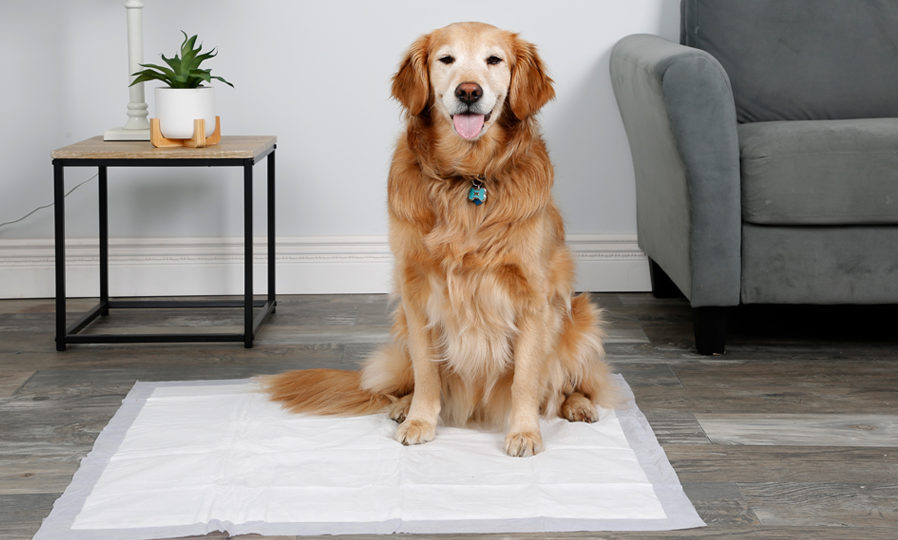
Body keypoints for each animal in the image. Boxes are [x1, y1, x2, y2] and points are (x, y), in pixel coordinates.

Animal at [262, 23, 620, 458]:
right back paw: (402, 406)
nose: (468, 91)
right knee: (406, 380)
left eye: (494, 60)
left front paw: (524, 432)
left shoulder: (533, 297)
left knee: (569, 382)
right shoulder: (416, 293)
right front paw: (420, 421)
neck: (468, 178)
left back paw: (578, 405)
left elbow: (526, 377)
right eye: (445, 59)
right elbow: (427, 372)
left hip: (583, 319)